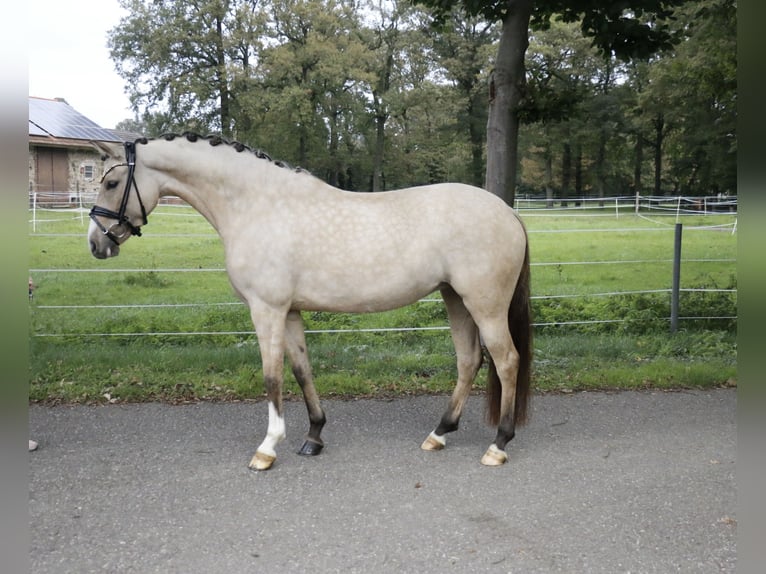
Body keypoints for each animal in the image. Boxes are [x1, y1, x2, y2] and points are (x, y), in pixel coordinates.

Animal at [87, 135, 536, 472]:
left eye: (111, 183)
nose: (96, 244)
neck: (258, 204)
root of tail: (509, 213)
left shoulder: (266, 309)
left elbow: (272, 376)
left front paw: (267, 448)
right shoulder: (289, 311)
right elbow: (302, 370)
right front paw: (313, 436)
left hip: (484, 305)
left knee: (506, 360)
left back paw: (498, 445)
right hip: (455, 298)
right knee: (469, 360)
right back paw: (439, 434)